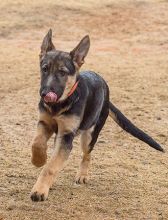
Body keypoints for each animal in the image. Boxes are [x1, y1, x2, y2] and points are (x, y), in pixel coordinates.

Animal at [30, 29, 163, 203]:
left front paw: (39, 190)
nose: (45, 93)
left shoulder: (66, 136)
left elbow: (51, 167)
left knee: (87, 155)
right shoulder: (45, 123)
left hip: (89, 135)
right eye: (44, 69)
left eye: (62, 72)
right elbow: (37, 143)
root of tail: (106, 93)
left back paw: (82, 175)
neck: (60, 104)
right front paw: (38, 160)